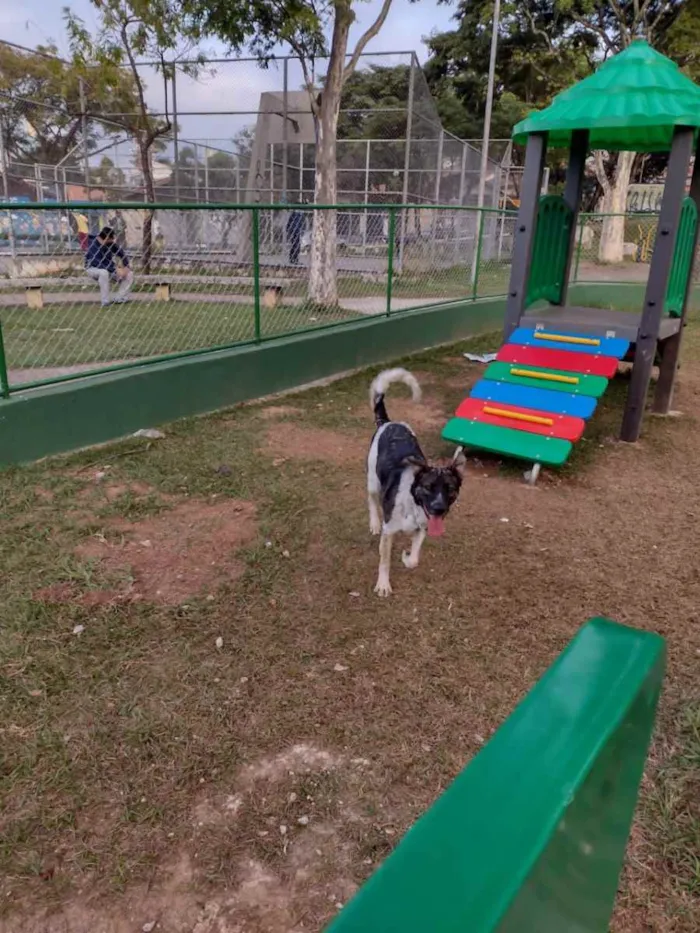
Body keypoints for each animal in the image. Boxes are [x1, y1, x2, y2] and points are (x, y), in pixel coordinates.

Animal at [366, 368, 464, 592]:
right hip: (373, 482)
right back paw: (374, 523)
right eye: (427, 487)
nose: (438, 509)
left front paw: (406, 557)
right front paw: (383, 585)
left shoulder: (422, 529)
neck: (412, 505)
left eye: (450, 488)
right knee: (372, 501)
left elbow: (414, 559)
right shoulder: (389, 530)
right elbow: (384, 560)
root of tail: (388, 422)